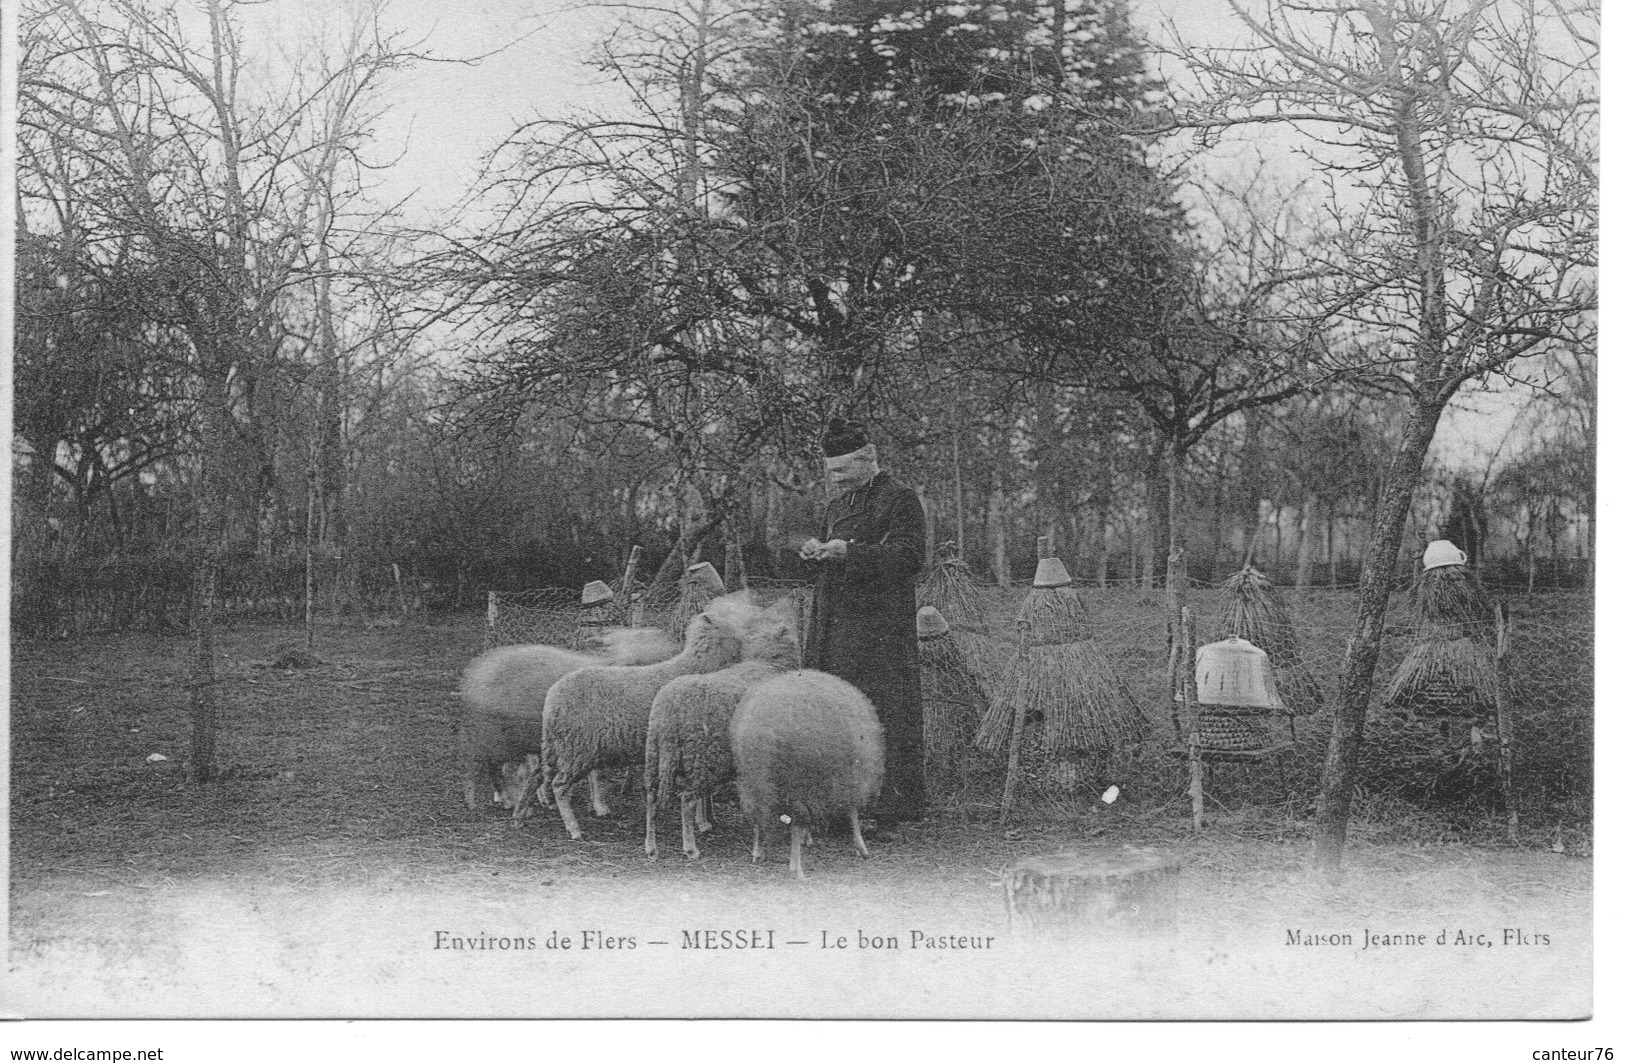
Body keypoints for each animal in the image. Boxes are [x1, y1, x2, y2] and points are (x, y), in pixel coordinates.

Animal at [458, 633, 679, 815]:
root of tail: (476, 674)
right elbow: (597, 774)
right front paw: (600, 806)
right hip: (501, 733)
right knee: (487, 763)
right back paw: (494, 800)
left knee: (500, 766)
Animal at [533, 598, 744, 838]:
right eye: (729, 624)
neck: (698, 666)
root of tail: (553, 697)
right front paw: (703, 822)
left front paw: (709, 818)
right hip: (576, 746)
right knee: (559, 785)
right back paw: (573, 827)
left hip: (573, 745)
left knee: (553, 774)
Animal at [643, 594, 802, 864]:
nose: (790, 600)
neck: (765, 664)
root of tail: (670, 709)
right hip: (701, 757)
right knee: (686, 799)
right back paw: (690, 848)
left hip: (657, 754)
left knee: (652, 798)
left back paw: (651, 847)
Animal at [734, 669, 890, 877]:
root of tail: (764, 733)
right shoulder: (849, 776)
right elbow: (852, 812)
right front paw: (860, 847)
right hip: (799, 781)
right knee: (796, 821)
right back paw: (796, 868)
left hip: (753, 780)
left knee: (758, 815)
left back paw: (758, 852)